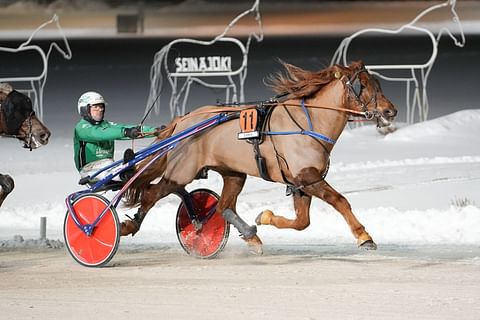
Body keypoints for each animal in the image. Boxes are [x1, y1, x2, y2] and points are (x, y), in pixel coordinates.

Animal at [122, 61, 396, 254]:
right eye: (363, 86)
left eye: (377, 84)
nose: (391, 111)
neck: (309, 123)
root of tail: (183, 120)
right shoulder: (308, 177)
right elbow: (340, 201)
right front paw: (364, 237)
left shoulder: (301, 183)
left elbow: (302, 222)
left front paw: (264, 217)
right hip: (181, 173)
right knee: (151, 194)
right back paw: (128, 226)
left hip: (233, 173)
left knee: (223, 206)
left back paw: (250, 235)